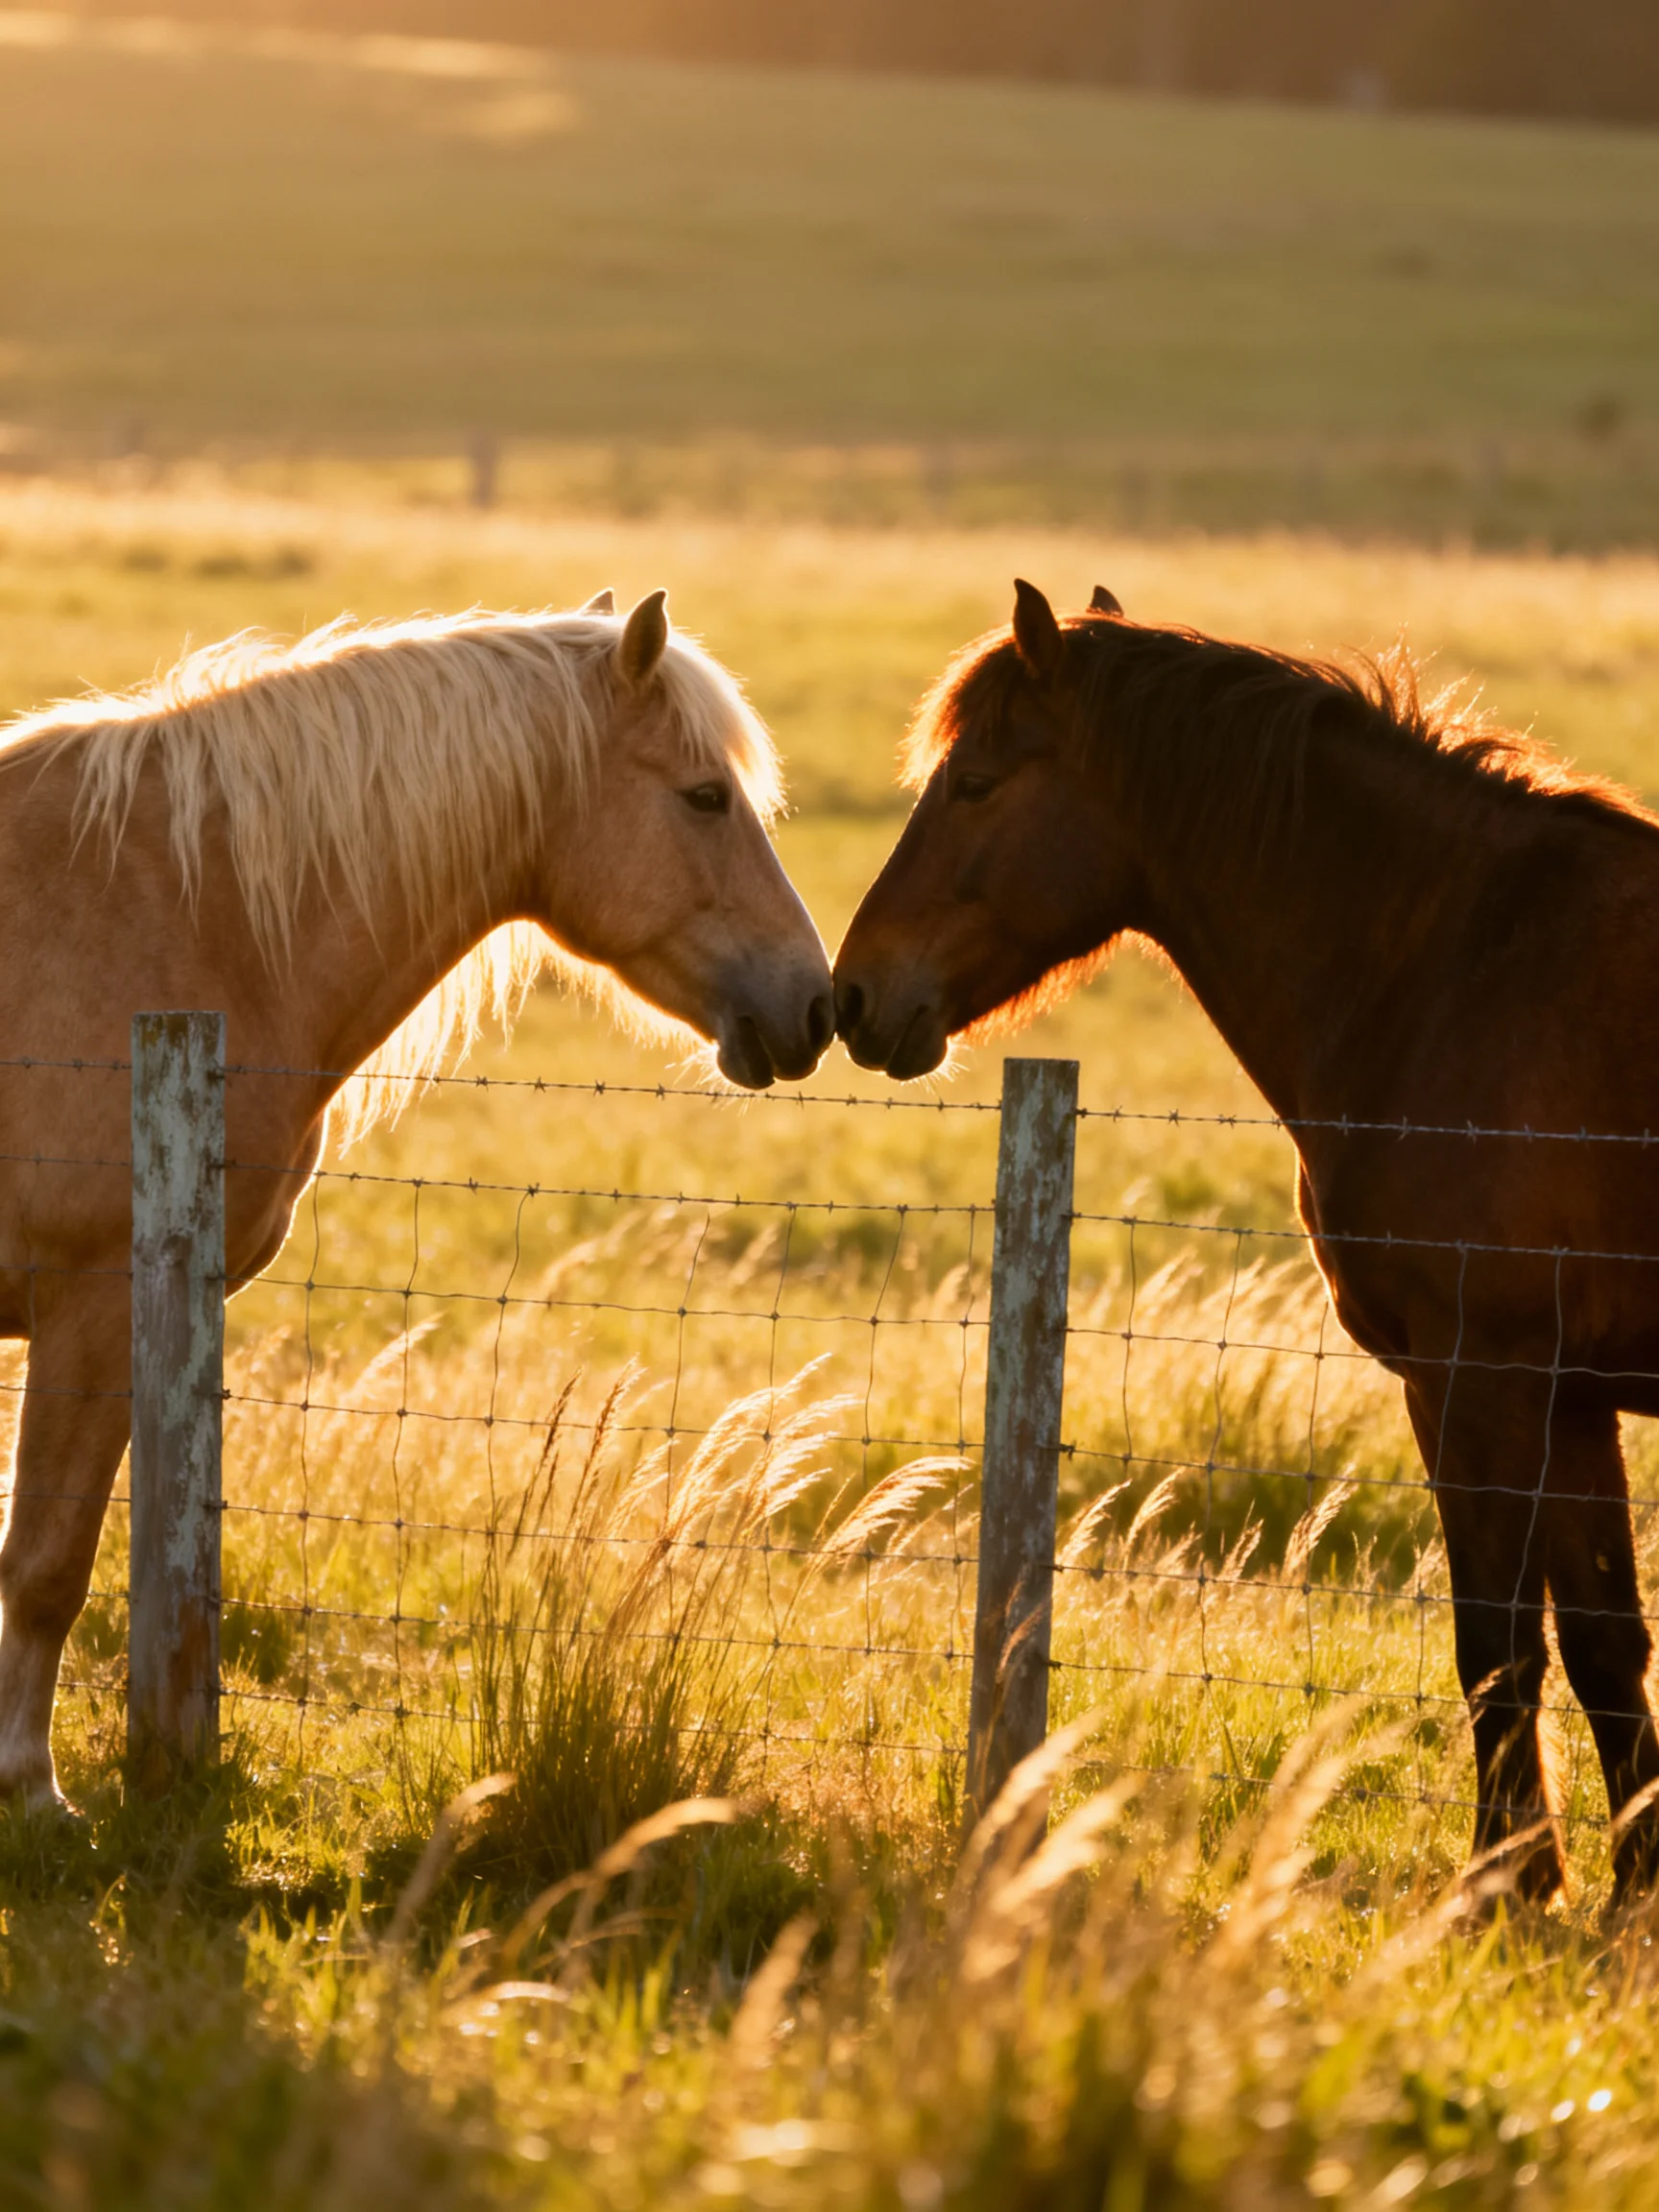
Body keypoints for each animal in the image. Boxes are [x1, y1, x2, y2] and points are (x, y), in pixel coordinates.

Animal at [0, 586, 833, 1808]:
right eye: (703, 796)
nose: (818, 1005)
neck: (177, 911)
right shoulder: (91, 1312)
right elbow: (46, 1568)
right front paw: (29, 1788)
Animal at [835, 577, 1659, 1901]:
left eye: (974, 782)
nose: (854, 997)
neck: (1457, 966)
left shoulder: (1480, 1382)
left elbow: (1499, 1648)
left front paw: (1506, 1894)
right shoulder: (1564, 1397)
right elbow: (1600, 1649)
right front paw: (1619, 1898)